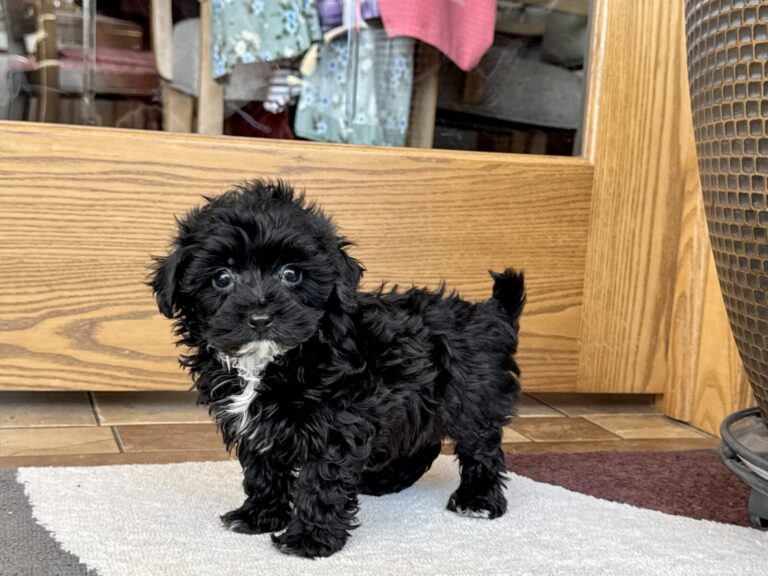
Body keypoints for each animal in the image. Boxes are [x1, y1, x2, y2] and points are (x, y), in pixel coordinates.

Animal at [150, 181, 520, 560]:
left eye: (291, 274)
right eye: (222, 278)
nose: (260, 318)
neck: (276, 361)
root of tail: (490, 314)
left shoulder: (335, 424)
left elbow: (321, 480)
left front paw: (309, 539)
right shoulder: (256, 425)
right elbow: (263, 470)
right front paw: (259, 516)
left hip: (471, 398)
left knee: (481, 448)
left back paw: (478, 500)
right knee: (421, 445)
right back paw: (384, 481)